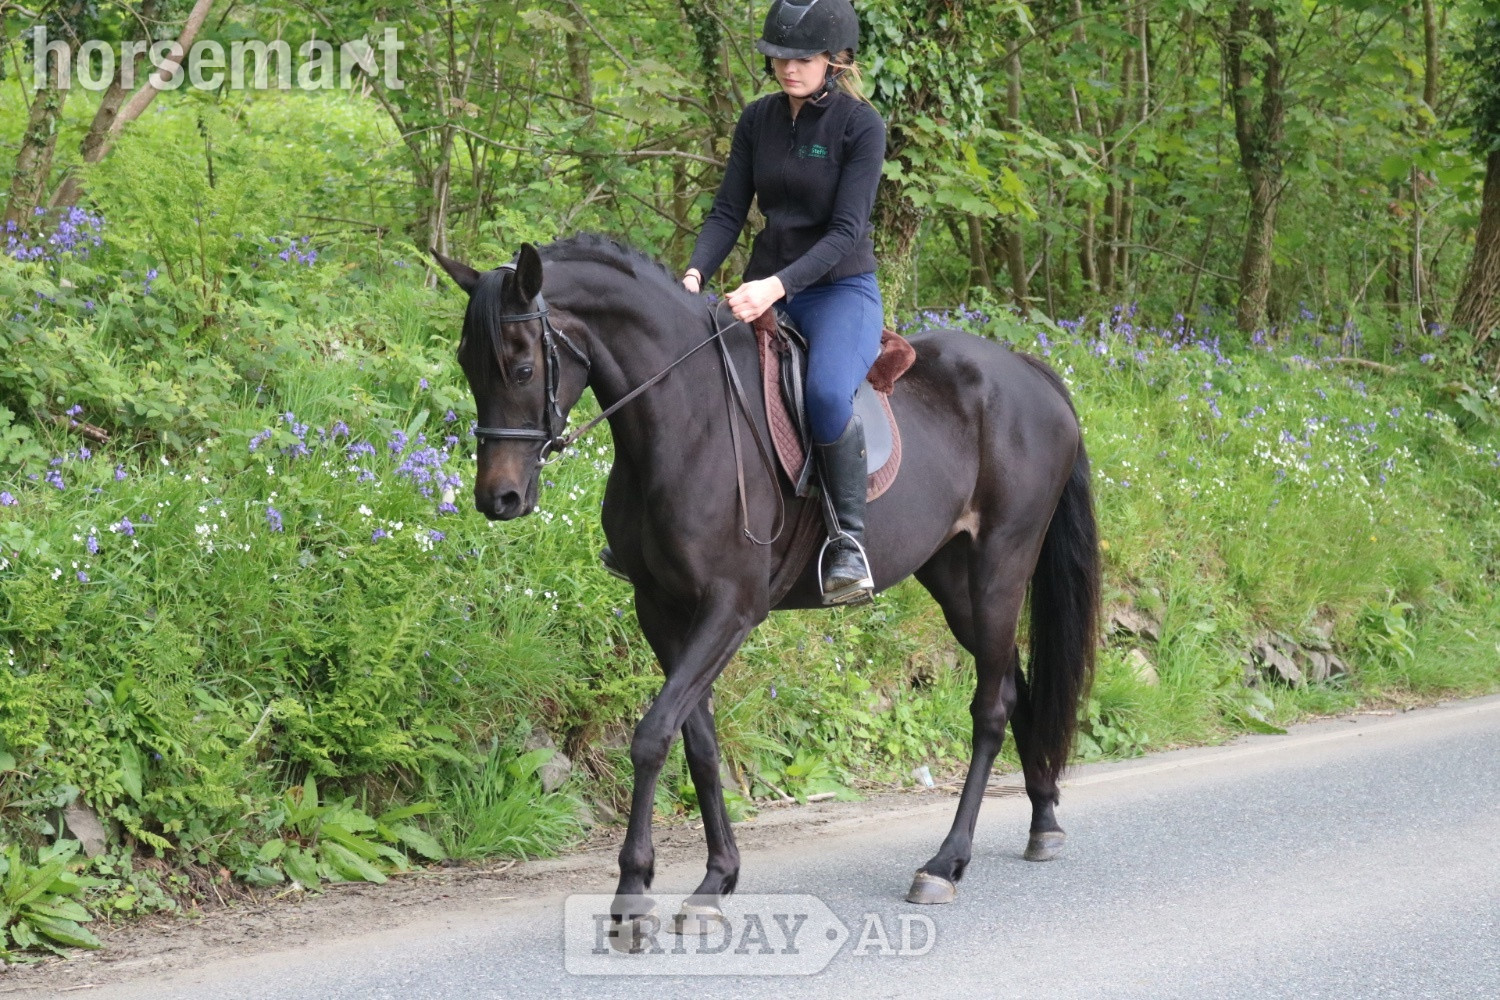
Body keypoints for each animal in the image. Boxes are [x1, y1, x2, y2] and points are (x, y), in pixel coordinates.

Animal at [431, 234, 1099, 944]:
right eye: (468, 364)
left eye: (522, 366)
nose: (498, 499)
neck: (683, 414)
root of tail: (1029, 371)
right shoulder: (661, 609)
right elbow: (698, 742)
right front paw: (715, 881)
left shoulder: (732, 608)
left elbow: (653, 735)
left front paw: (633, 893)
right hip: (956, 583)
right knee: (1013, 683)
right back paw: (1043, 821)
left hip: (1000, 566)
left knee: (991, 707)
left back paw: (945, 863)